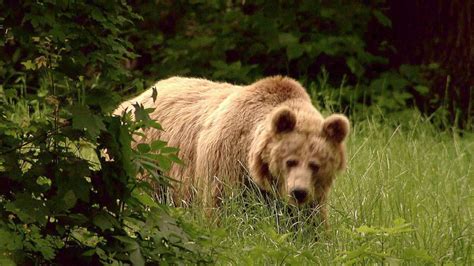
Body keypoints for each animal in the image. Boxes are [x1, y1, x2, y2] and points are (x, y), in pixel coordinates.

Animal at [115, 76, 350, 222]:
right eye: (290, 161)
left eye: (315, 165)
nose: (298, 192)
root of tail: (130, 101)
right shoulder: (228, 160)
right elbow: (224, 206)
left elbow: (310, 219)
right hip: (146, 160)